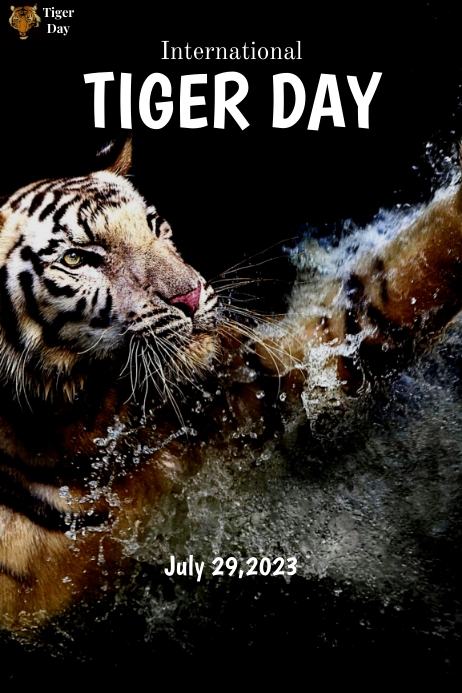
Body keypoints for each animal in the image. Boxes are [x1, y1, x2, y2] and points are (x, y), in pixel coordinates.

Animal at [1, 137, 462, 634]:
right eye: (77, 258)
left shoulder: (262, 380)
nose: (189, 296)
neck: (95, 419)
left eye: (153, 225)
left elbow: (379, 295)